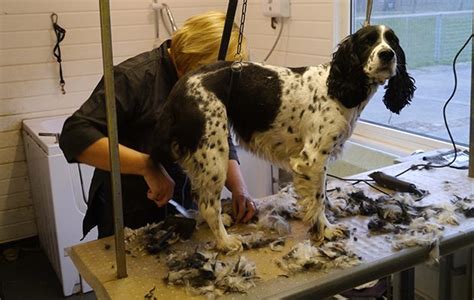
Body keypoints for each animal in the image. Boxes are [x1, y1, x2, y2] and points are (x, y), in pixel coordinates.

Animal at [152, 24, 414, 252]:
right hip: (214, 155)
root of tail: (178, 91)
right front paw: (325, 229)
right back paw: (226, 241)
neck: (338, 87)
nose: (387, 55)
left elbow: (321, 192)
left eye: (392, 41)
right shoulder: (312, 159)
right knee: (208, 205)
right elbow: (317, 198)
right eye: (368, 41)